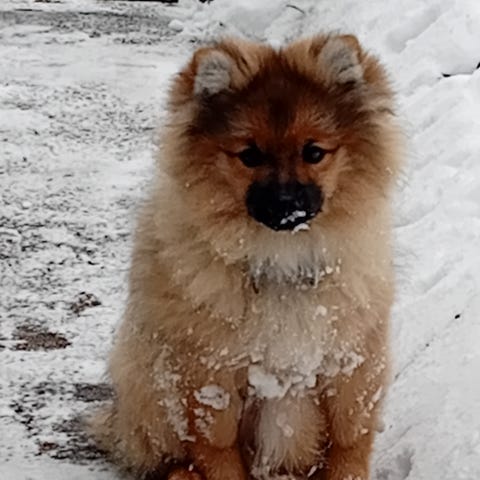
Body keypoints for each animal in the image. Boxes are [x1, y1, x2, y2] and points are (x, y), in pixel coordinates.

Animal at [91, 33, 402, 480]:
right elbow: (219, 451)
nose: (286, 204)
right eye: (250, 155)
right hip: (146, 382)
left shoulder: (351, 362)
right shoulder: (210, 374)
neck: (281, 256)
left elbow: (349, 441)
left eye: (314, 152)